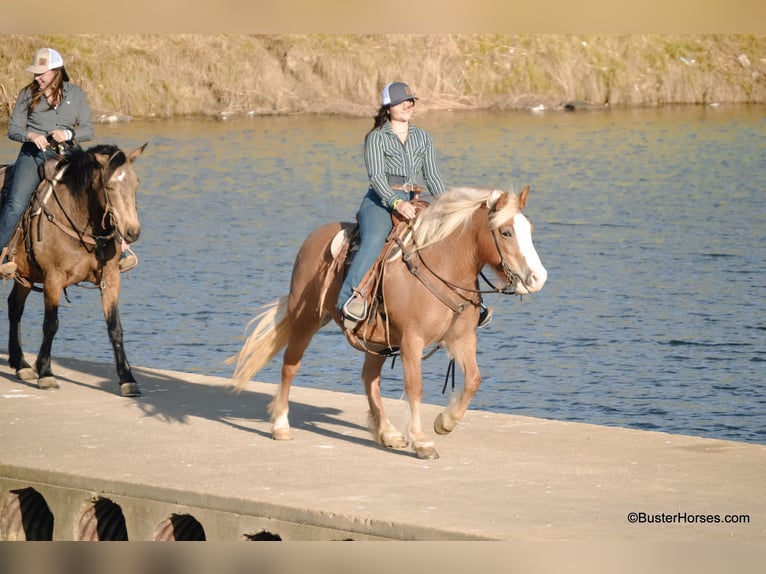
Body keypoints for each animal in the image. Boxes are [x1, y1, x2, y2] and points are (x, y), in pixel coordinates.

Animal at [0, 143, 148, 396]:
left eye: (136, 182)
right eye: (110, 186)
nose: (132, 232)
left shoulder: (111, 279)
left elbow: (115, 328)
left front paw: (127, 378)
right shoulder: (53, 280)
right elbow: (51, 325)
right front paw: (46, 373)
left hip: (24, 276)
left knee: (14, 308)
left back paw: (21, 365)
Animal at [231, 187, 548, 462]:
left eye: (529, 230)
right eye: (506, 232)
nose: (538, 278)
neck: (443, 263)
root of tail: (314, 237)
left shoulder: (462, 339)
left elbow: (473, 380)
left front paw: (445, 422)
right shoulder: (411, 340)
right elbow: (415, 387)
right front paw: (422, 441)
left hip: (376, 340)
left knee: (370, 379)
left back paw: (387, 432)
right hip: (305, 317)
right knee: (290, 365)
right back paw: (281, 425)